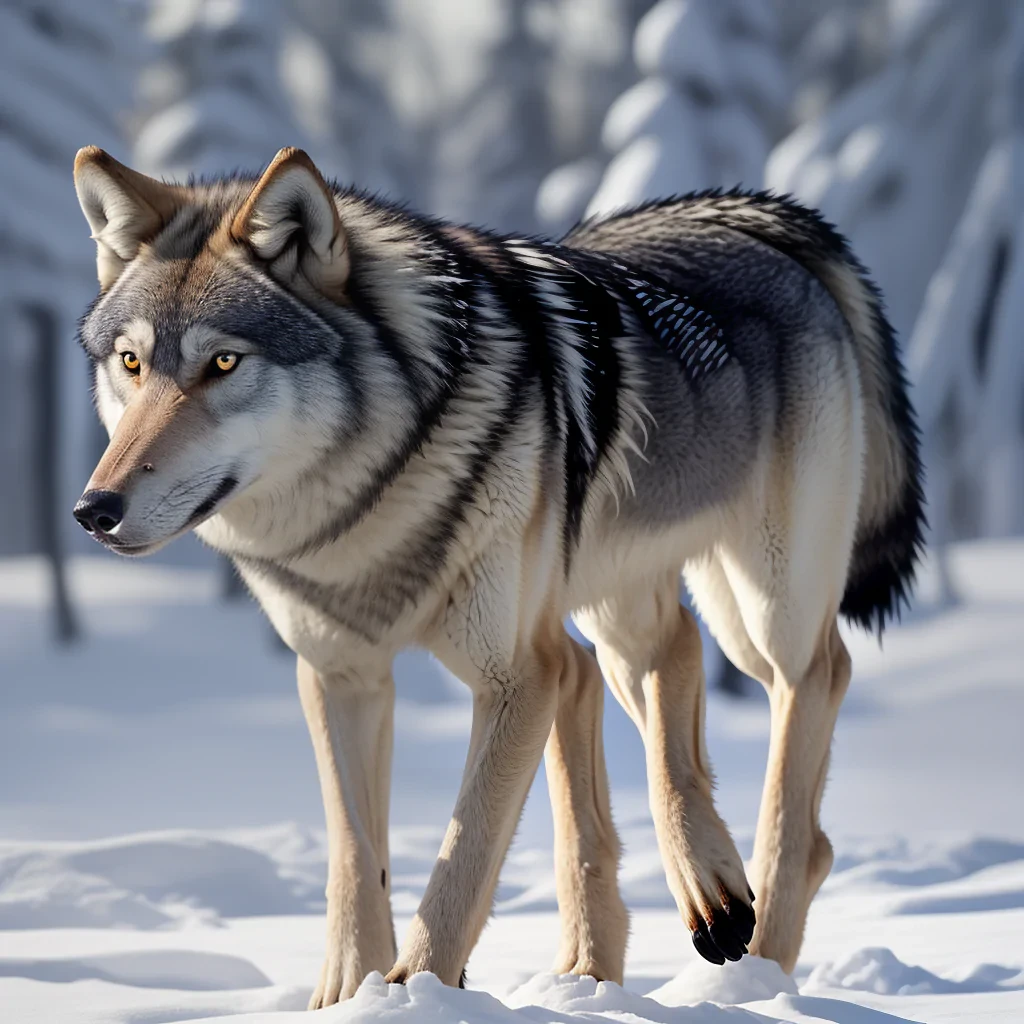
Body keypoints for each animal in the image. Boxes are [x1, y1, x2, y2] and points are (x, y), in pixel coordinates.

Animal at [72, 146, 923, 1006]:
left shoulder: (514, 672)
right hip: (623, 616)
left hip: (765, 607)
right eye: (132, 363)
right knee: (666, 663)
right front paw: (349, 997)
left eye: (223, 362)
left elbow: (465, 854)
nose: (93, 509)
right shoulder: (341, 675)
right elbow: (355, 854)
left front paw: (415, 993)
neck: (368, 505)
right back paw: (632, 943)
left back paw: (753, 973)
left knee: (814, 700)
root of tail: (744, 217)